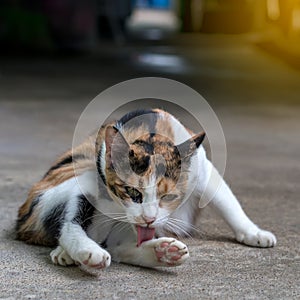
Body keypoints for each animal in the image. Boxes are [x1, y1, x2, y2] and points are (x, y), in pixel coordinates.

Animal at [15, 108, 276, 272]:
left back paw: (163, 253)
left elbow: (227, 202)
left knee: (118, 248)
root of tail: (23, 221)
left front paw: (254, 232)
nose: (148, 219)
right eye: (132, 193)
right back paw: (85, 252)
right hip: (77, 180)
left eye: (168, 196)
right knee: (72, 225)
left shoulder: (203, 169)